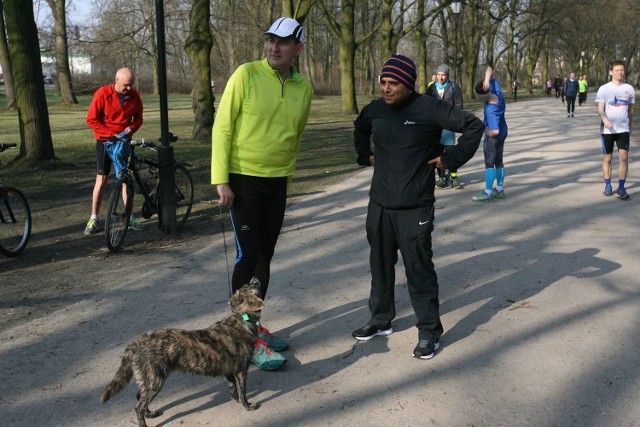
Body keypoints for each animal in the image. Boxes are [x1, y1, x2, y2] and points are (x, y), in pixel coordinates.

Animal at [99, 280, 262, 427]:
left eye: (248, 284)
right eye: (252, 287)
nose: (255, 279)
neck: (241, 318)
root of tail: (138, 341)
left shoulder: (228, 370)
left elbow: (233, 388)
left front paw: (235, 399)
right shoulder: (241, 370)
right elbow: (243, 391)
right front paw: (247, 406)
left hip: (148, 381)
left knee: (139, 397)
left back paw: (150, 414)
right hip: (155, 382)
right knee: (138, 407)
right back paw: (144, 423)